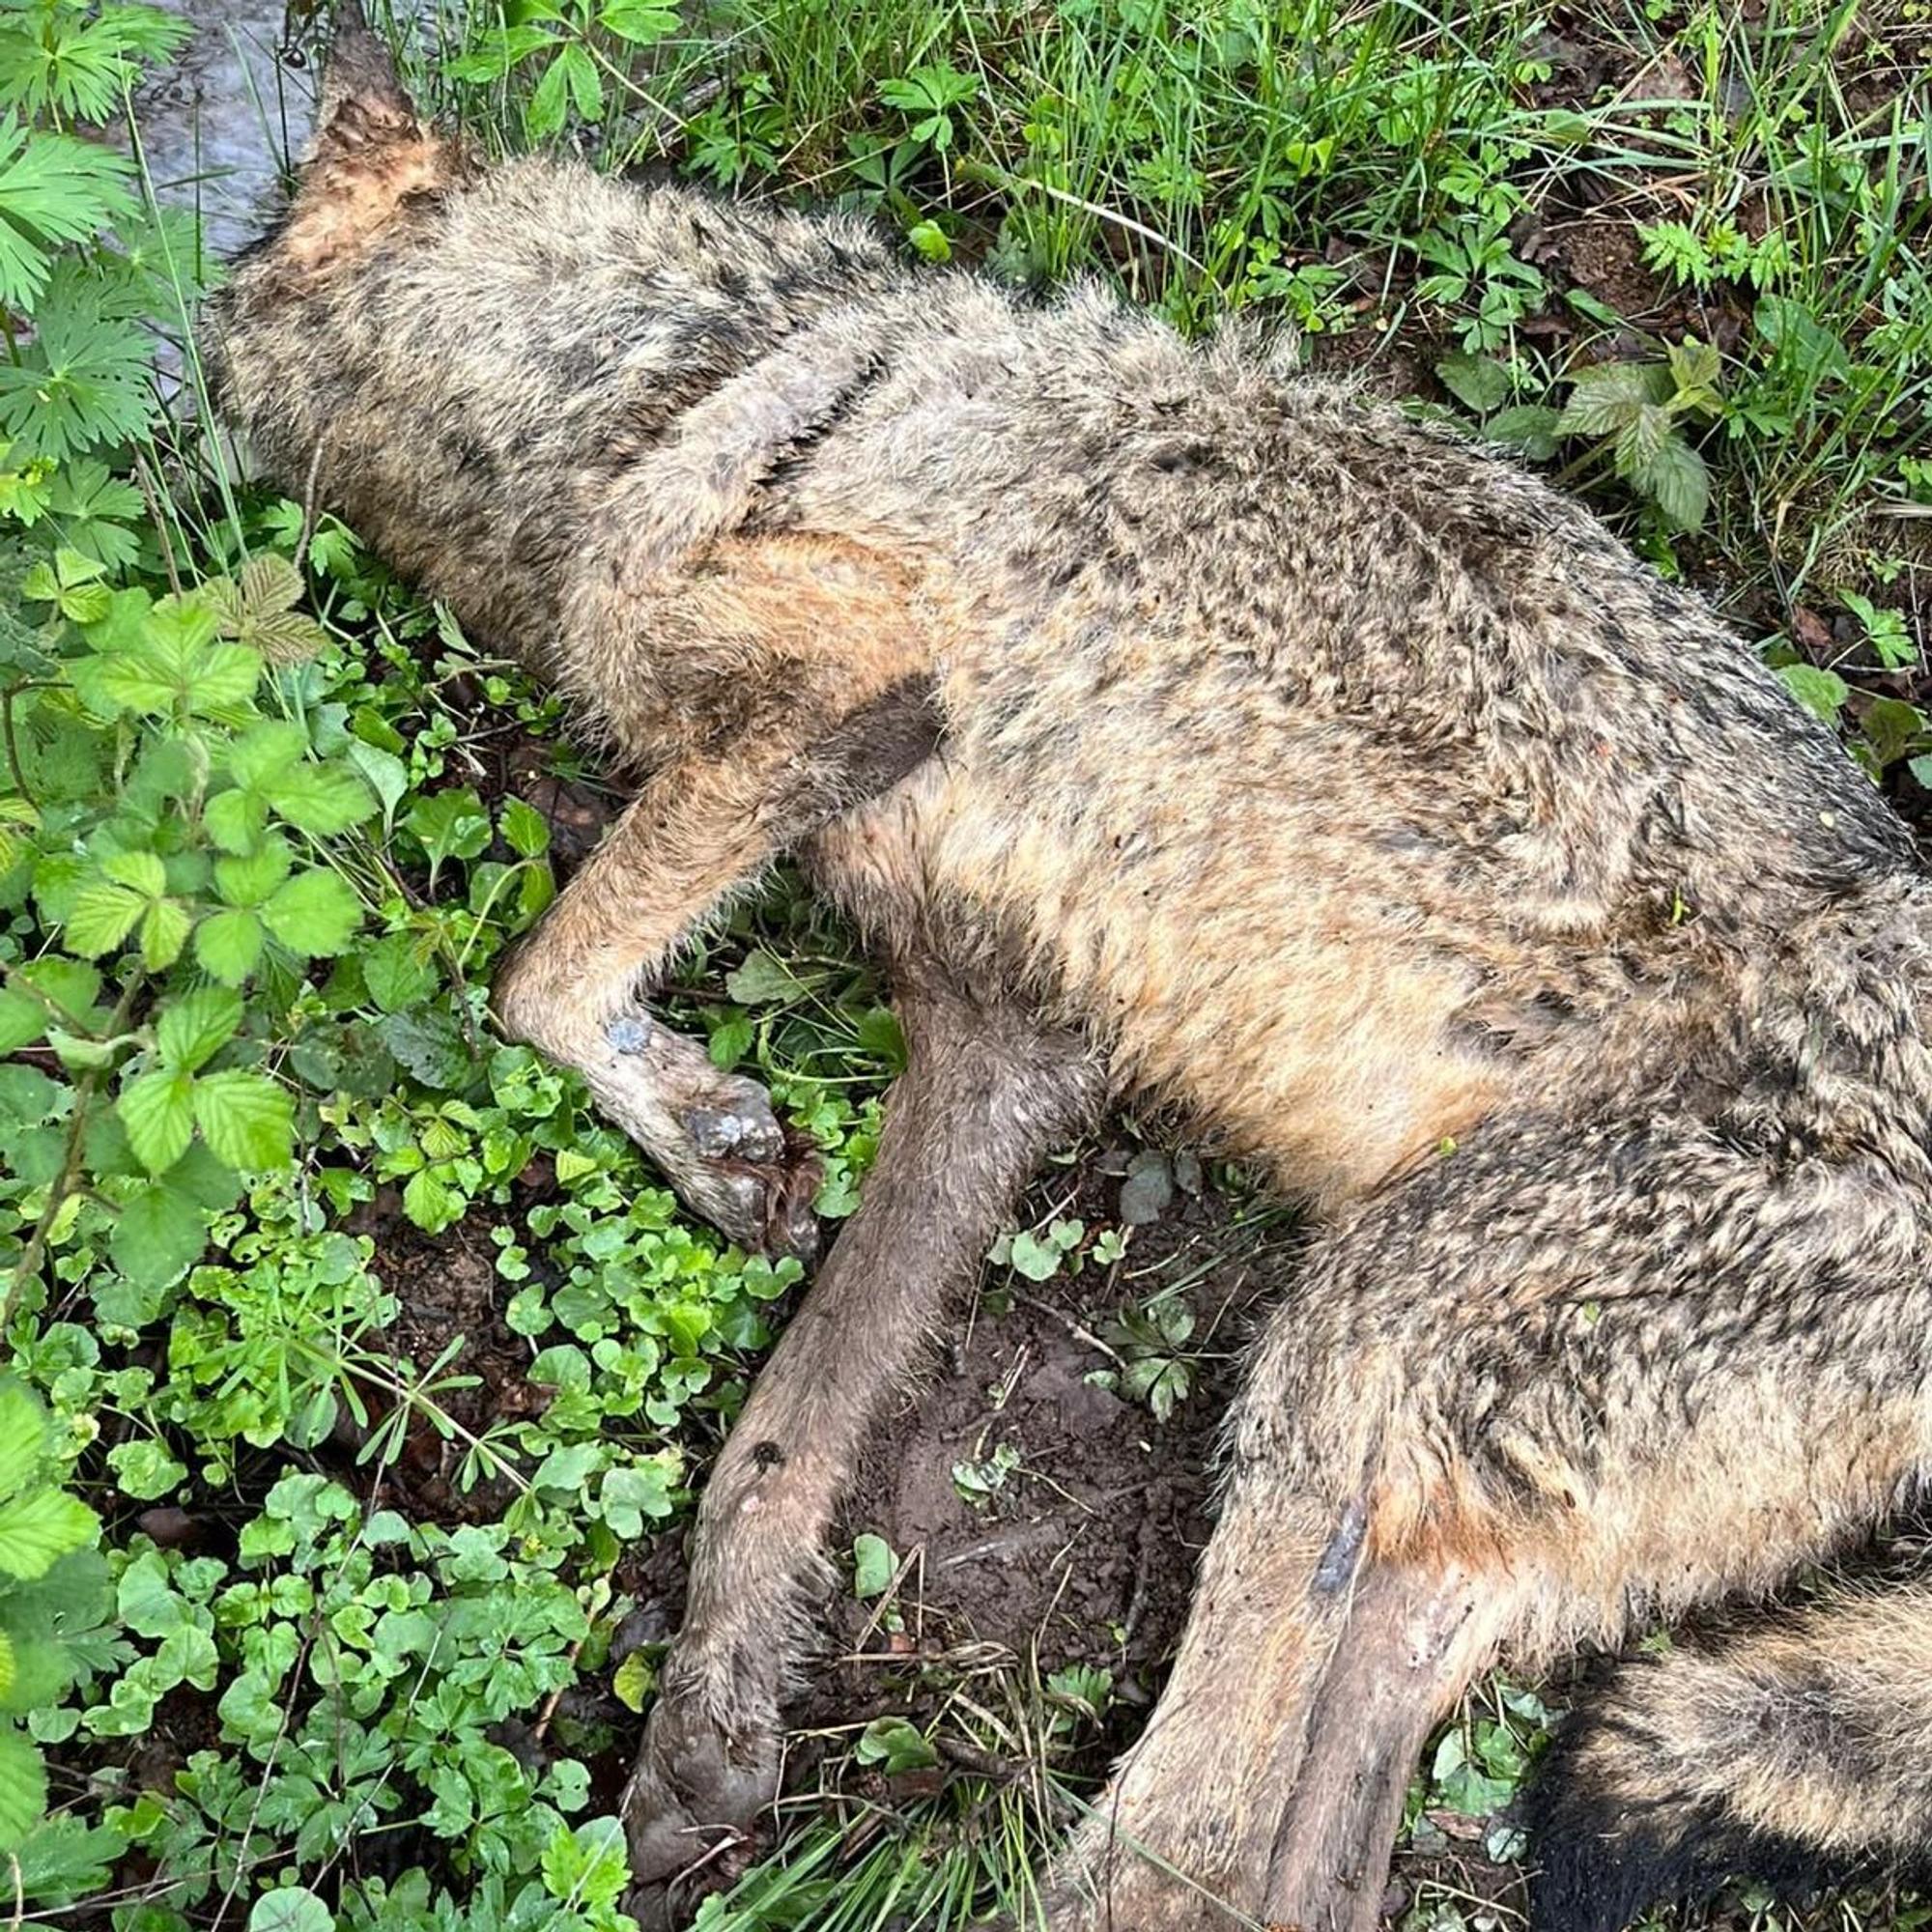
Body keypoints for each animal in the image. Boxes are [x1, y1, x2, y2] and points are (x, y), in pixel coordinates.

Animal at [201, 9, 1932, 1930]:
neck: (690, 372)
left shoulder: (847, 682)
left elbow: (537, 979)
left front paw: (698, 1121)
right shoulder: (998, 1045)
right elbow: (771, 1445)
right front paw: (708, 1723)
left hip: (1345, 1359)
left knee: (1183, 1857)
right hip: (1416, 1514)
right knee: (1304, 1858)